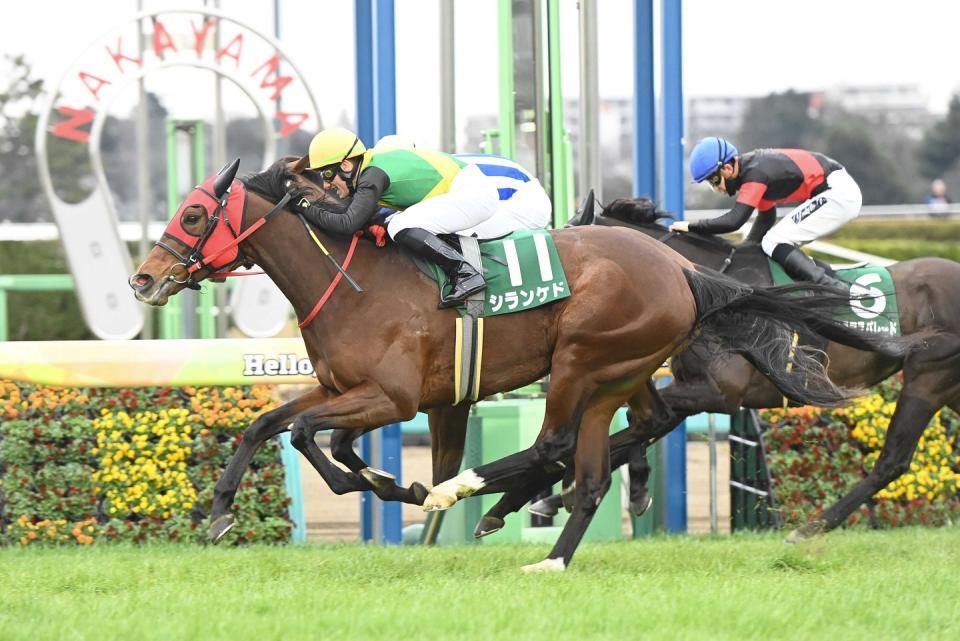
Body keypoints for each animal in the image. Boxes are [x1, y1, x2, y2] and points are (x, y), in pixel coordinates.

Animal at [129, 159, 909, 570]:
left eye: (194, 215)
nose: (142, 279)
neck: (353, 280)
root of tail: (685, 272)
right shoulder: (343, 388)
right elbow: (269, 425)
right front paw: (222, 512)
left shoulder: (393, 397)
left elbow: (307, 436)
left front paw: (400, 486)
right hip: (621, 372)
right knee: (611, 443)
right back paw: (540, 534)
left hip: (581, 359)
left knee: (554, 442)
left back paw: (478, 495)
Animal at [515, 197, 959, 542]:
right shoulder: (695, 388)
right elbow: (638, 426)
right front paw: (563, 493)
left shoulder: (719, 394)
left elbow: (635, 421)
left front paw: (576, 488)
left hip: (928, 378)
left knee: (892, 461)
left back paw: (808, 529)